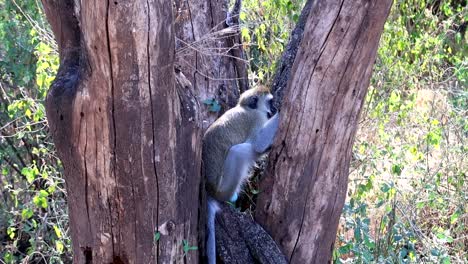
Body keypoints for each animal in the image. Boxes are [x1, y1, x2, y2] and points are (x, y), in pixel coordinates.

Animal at [203, 86, 280, 264]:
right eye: (271, 102)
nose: (274, 109)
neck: (246, 108)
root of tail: (209, 190)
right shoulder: (257, 119)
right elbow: (258, 144)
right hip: (223, 187)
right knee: (238, 151)